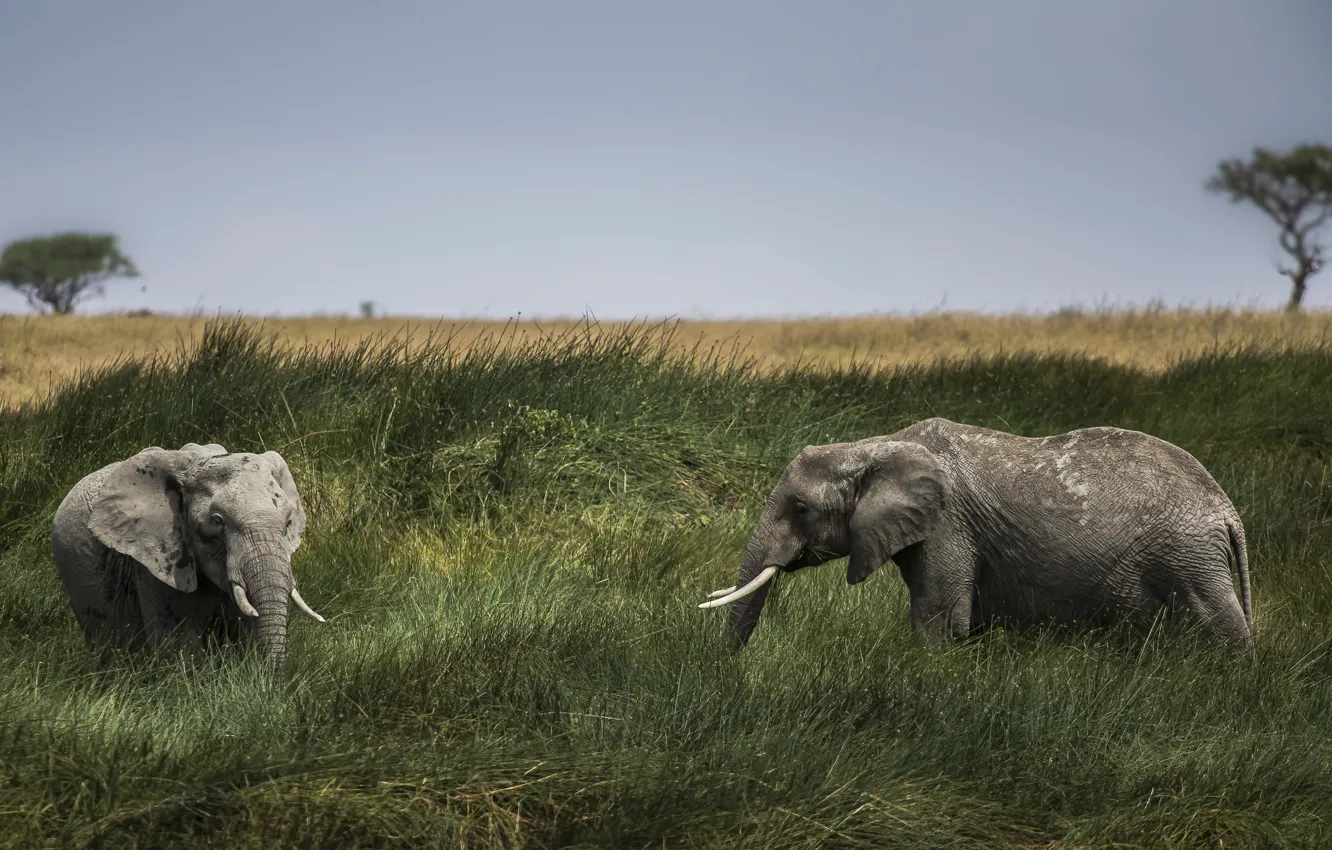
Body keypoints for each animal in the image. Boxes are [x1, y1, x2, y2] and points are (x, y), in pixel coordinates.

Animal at [700, 417, 1253, 650]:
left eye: (799, 508)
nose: (729, 670)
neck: (876, 445)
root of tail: (1228, 510)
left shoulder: (948, 525)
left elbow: (940, 622)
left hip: (1188, 553)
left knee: (1219, 621)